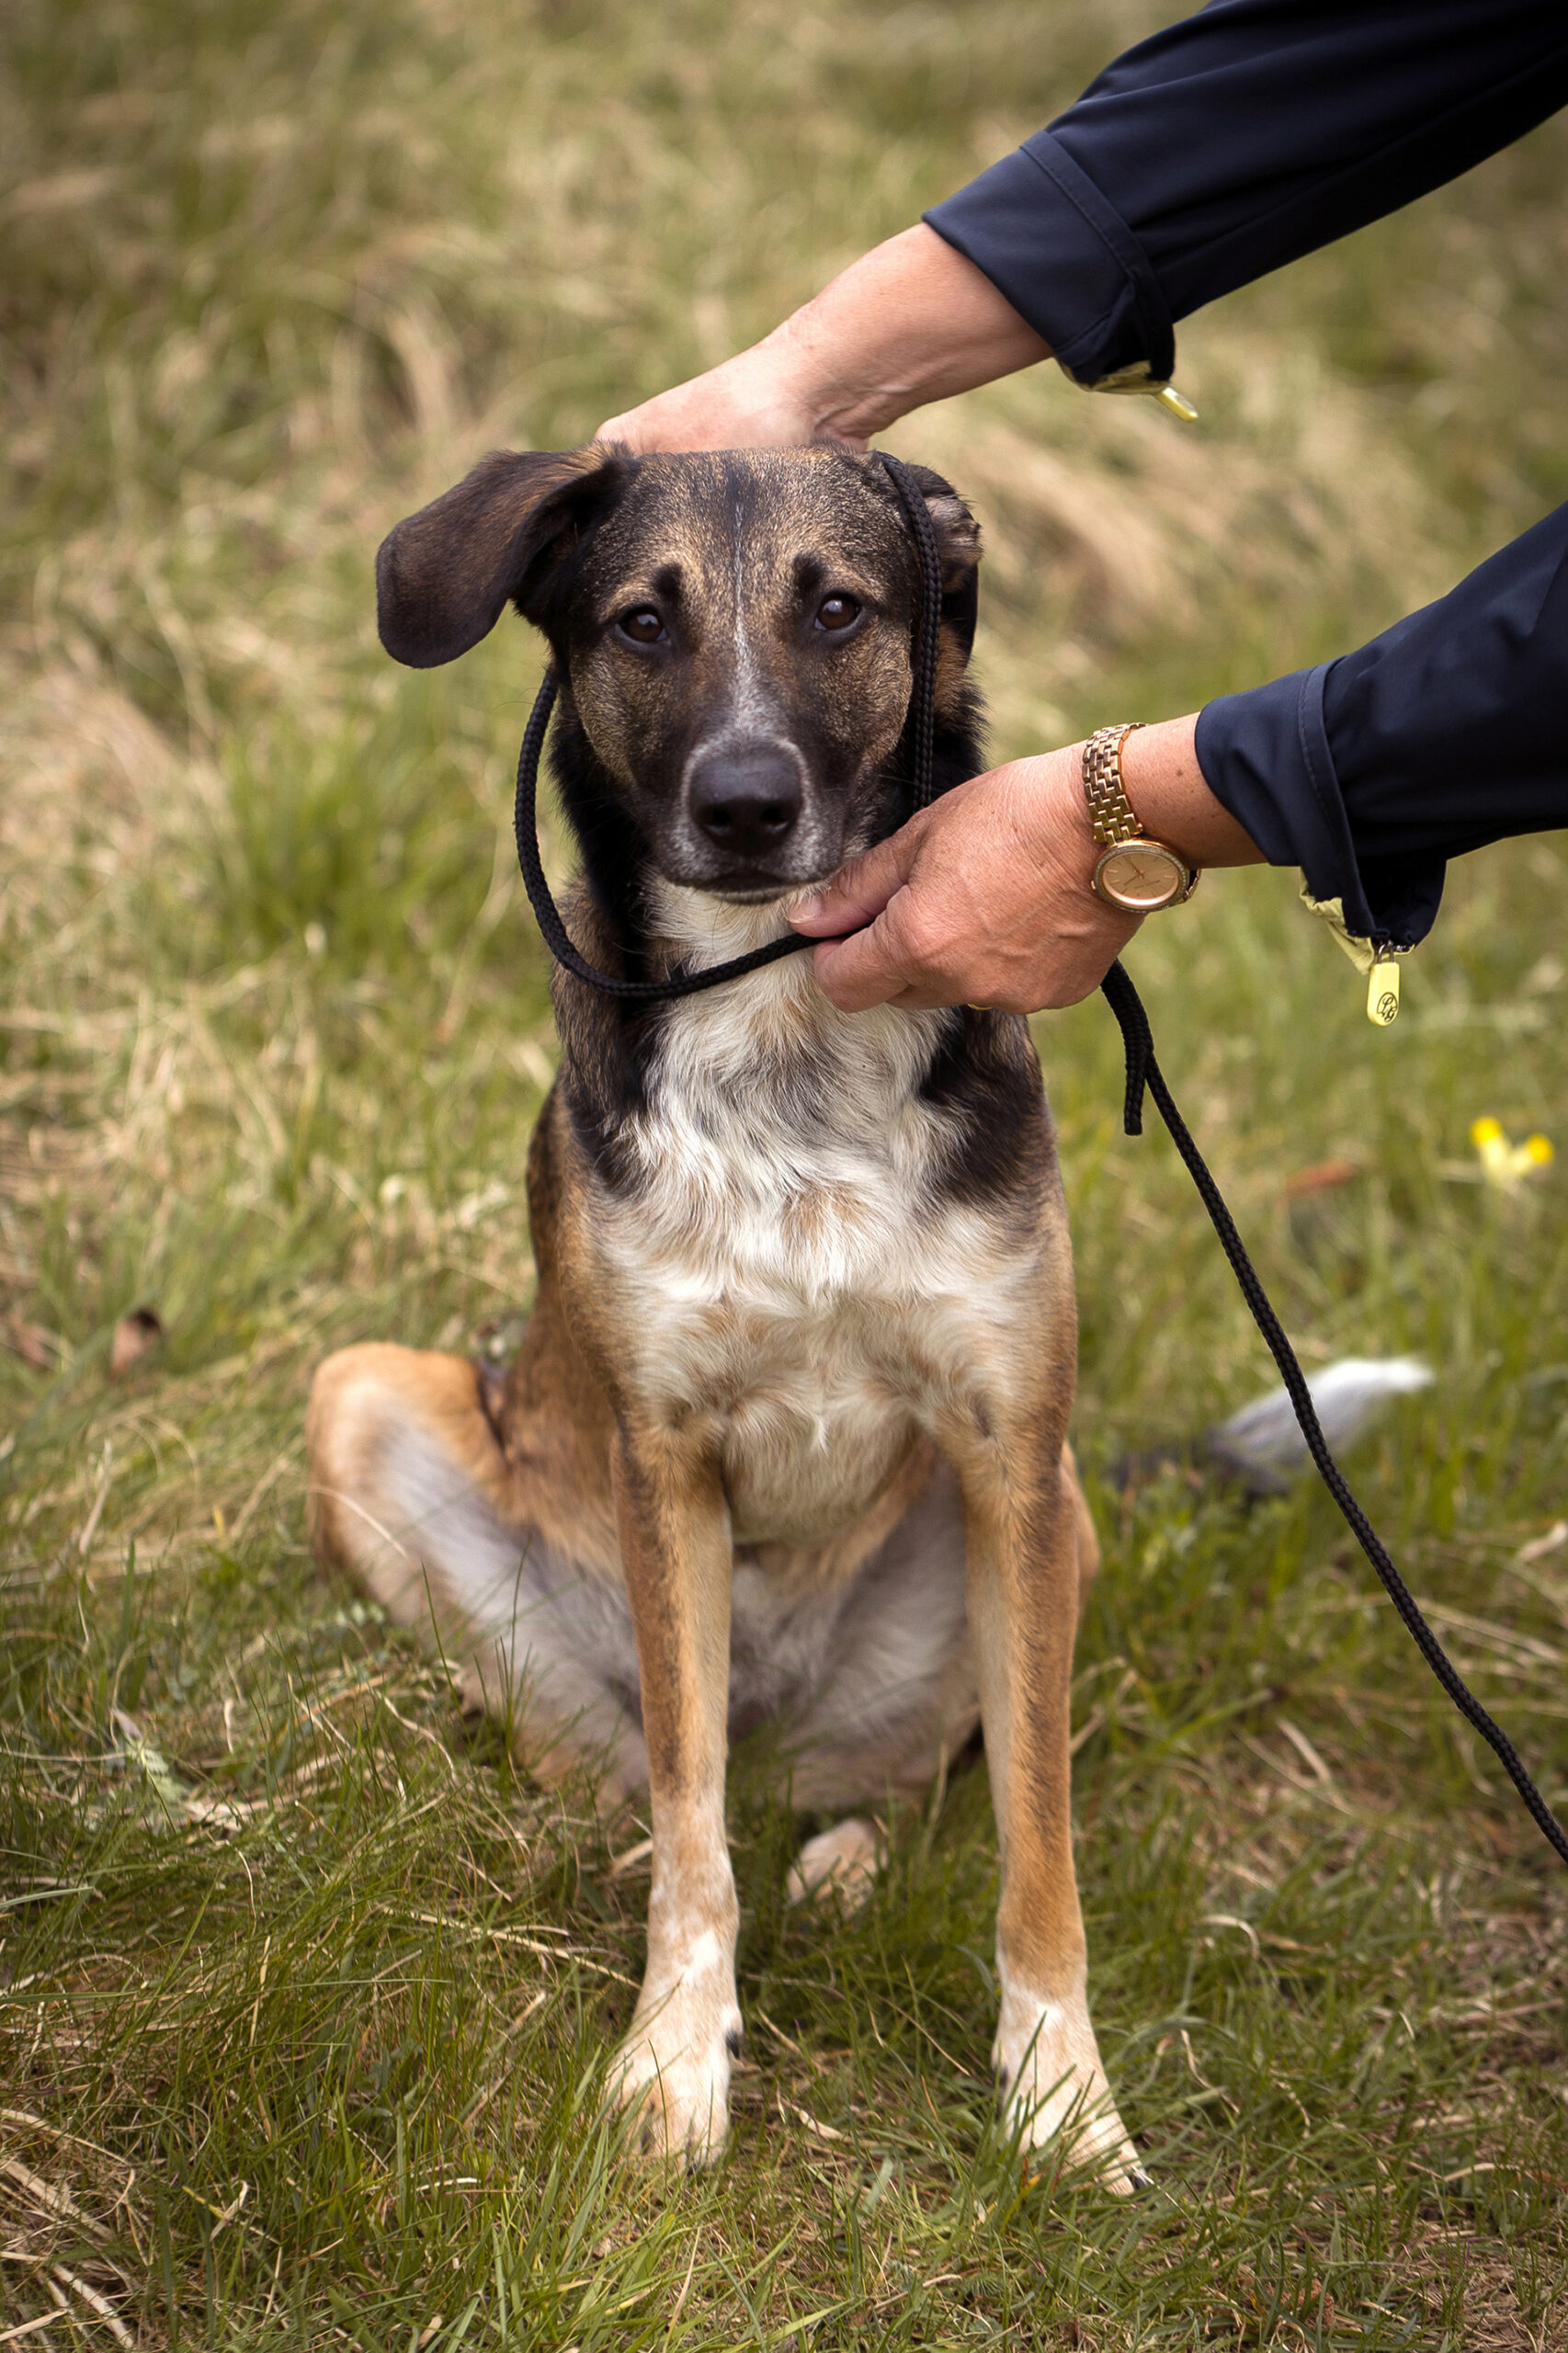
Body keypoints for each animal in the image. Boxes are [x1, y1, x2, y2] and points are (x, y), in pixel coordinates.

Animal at [306, 444, 1143, 2183]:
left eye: (838, 609)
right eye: (640, 621)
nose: (746, 804)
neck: (779, 1023)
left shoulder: (1009, 1441)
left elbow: (1037, 1835)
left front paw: (1060, 2093)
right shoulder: (664, 1454)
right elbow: (693, 1841)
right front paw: (672, 2063)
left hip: (1054, 1522)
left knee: (892, 1787)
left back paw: (841, 1865)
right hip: (364, 1401)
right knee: (646, 1780)